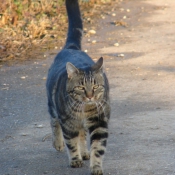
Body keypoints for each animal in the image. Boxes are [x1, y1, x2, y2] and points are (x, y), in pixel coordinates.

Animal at [45, 0, 110, 174]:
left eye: (95, 86)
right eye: (81, 88)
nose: (89, 96)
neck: (84, 110)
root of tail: (71, 47)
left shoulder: (99, 122)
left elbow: (97, 148)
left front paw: (96, 166)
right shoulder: (68, 123)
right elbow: (71, 143)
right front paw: (75, 160)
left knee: (82, 134)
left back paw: (85, 152)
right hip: (53, 105)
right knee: (54, 121)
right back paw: (58, 143)